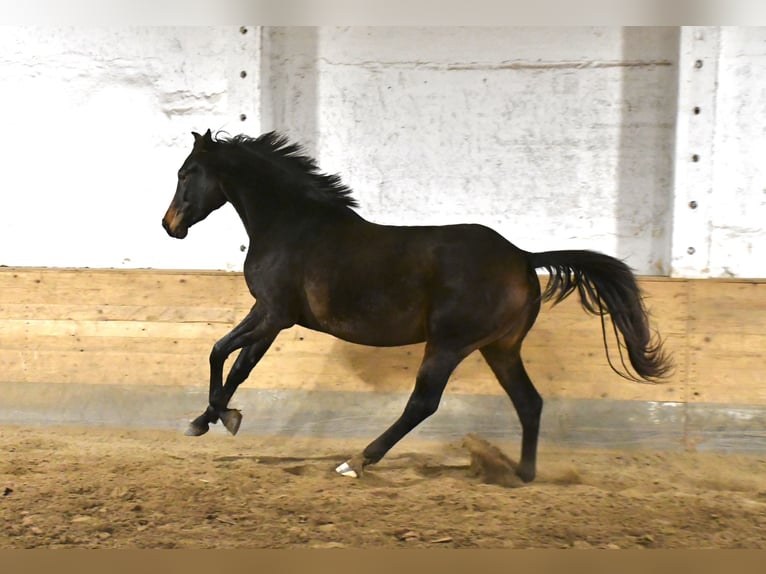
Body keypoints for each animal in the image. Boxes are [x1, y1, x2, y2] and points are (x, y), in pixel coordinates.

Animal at [162, 130, 672, 486]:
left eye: (186, 173)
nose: (170, 226)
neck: (294, 226)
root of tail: (523, 257)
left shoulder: (273, 314)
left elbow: (218, 351)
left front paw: (215, 418)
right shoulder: (270, 318)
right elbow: (237, 365)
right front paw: (211, 419)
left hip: (449, 344)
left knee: (423, 403)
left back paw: (356, 461)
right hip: (500, 348)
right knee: (529, 402)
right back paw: (522, 474)